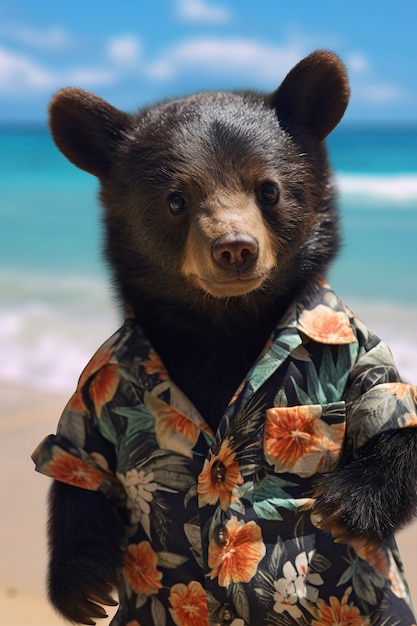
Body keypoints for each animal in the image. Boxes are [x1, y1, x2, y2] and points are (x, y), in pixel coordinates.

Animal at [30, 52, 414, 624]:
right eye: (175, 200)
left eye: (269, 190)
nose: (235, 247)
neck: (223, 324)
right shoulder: (104, 383)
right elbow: (79, 463)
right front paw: (83, 586)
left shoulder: (353, 345)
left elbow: (392, 411)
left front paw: (346, 503)